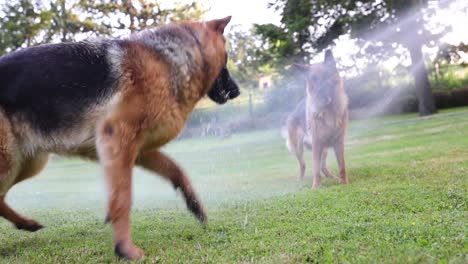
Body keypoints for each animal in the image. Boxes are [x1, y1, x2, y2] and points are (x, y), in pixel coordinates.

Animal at [0, 16, 239, 260]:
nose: (237, 91)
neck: (166, 61)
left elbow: (176, 170)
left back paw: (26, 223)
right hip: (10, 163)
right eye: (226, 60)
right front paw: (125, 248)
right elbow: (123, 198)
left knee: (1, 197)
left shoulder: (139, 151)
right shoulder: (117, 139)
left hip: (27, 164)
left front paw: (195, 206)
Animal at [286, 50, 348, 189]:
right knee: (304, 165)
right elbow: (315, 169)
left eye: (326, 76)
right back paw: (300, 180)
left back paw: (332, 178)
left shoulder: (338, 143)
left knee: (323, 167)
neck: (329, 111)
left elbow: (342, 165)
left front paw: (344, 182)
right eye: (313, 79)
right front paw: (315, 187)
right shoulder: (317, 143)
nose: (320, 96)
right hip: (299, 148)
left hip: (324, 150)